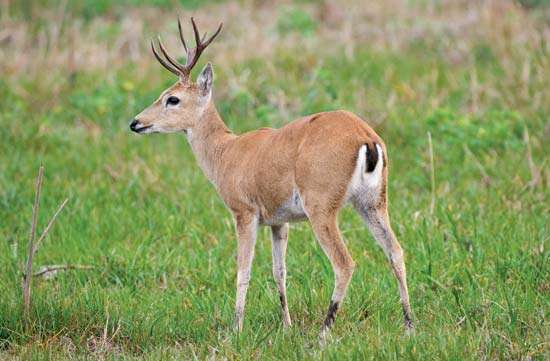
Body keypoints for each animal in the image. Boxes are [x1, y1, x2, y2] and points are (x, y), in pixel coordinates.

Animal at [130, 18, 414, 334]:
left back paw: (323, 333)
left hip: (322, 208)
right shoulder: (279, 221)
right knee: (395, 251)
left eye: (173, 98)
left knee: (345, 263)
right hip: (373, 203)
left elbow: (243, 270)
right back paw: (409, 326)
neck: (227, 152)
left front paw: (235, 329)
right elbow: (280, 271)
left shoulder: (244, 213)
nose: (136, 122)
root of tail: (366, 137)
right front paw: (286, 326)